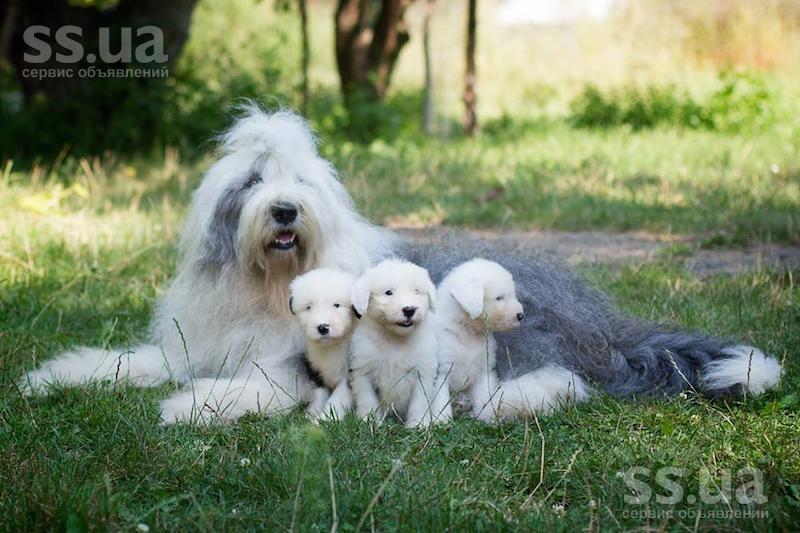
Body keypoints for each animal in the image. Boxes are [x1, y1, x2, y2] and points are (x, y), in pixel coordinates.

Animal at [288, 268, 356, 422]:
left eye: (337, 305)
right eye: (308, 307)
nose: (322, 327)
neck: (331, 347)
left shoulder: (350, 374)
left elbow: (337, 399)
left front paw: (325, 420)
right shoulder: (315, 368)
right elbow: (319, 394)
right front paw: (310, 415)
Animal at [346, 258, 440, 428]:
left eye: (416, 291)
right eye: (388, 292)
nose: (409, 309)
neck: (395, 339)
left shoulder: (422, 373)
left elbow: (419, 403)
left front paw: (417, 425)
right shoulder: (364, 371)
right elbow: (368, 400)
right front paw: (370, 422)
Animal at [434, 258, 592, 420]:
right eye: (499, 297)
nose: (520, 315)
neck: (468, 332)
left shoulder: (484, 372)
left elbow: (485, 397)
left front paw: (489, 415)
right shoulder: (441, 371)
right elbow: (440, 400)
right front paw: (441, 421)